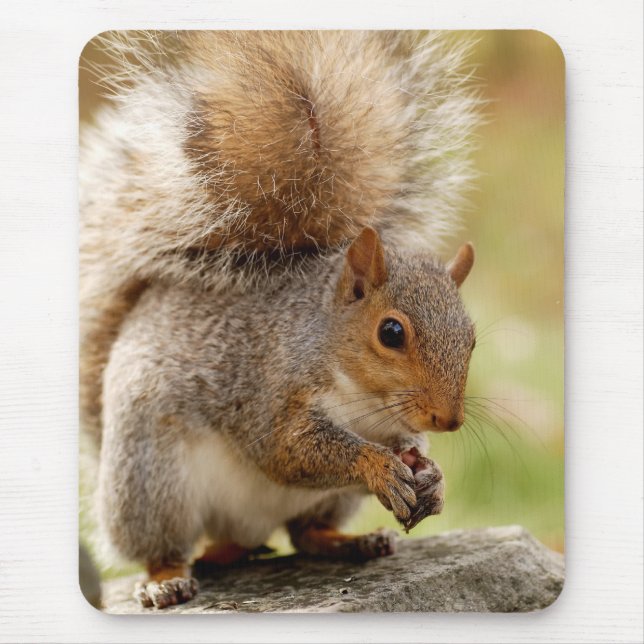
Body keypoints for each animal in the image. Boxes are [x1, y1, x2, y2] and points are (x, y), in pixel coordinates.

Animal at [80, 30, 480, 609]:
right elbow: (287, 450)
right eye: (391, 332)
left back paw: (349, 542)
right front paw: (377, 466)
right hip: (152, 481)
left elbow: (408, 451)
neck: (362, 399)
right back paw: (166, 579)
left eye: (472, 339)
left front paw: (433, 477)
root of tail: (241, 532)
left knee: (304, 532)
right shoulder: (269, 390)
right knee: (164, 545)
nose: (447, 421)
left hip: (328, 502)